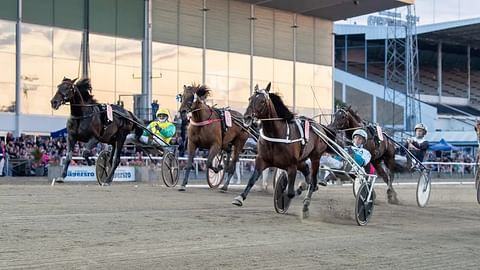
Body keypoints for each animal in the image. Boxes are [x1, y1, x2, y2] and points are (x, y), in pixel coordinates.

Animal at [231, 82, 332, 215]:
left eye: (262, 101)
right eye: (250, 99)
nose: (247, 117)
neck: (276, 134)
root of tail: (319, 127)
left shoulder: (291, 166)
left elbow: (290, 192)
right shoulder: (261, 160)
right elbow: (252, 179)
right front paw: (240, 198)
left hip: (315, 157)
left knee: (313, 178)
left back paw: (306, 202)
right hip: (301, 159)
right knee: (307, 172)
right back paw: (306, 186)